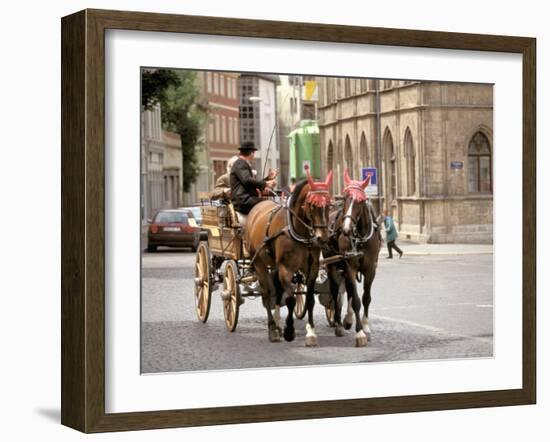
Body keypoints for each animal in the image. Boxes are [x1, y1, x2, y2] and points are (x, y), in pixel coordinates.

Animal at [248, 167, 334, 346]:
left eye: (329, 204)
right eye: (313, 205)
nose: (322, 238)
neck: (298, 232)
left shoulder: (312, 268)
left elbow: (309, 300)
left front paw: (311, 333)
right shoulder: (285, 269)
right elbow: (291, 299)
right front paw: (289, 331)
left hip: (274, 265)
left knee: (278, 290)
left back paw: (277, 324)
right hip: (259, 263)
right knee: (267, 293)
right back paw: (273, 329)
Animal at [326, 169, 382, 346]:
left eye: (361, 201)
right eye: (345, 198)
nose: (345, 229)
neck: (360, 237)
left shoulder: (371, 268)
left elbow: (365, 298)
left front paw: (366, 327)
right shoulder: (349, 265)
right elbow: (356, 299)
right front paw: (360, 333)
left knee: (347, 290)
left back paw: (348, 319)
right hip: (332, 263)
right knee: (335, 290)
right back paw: (338, 323)